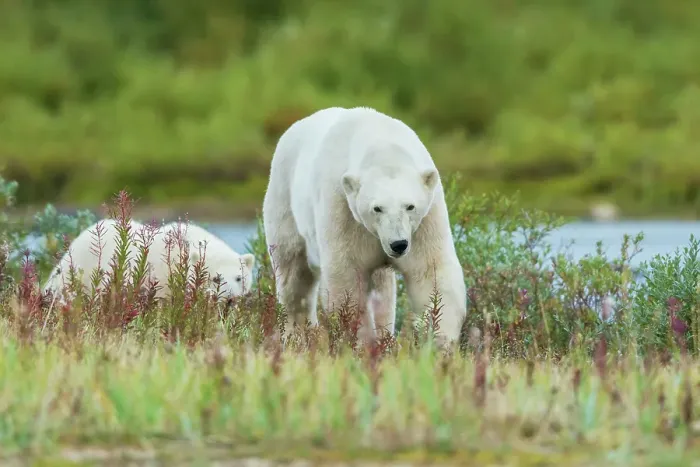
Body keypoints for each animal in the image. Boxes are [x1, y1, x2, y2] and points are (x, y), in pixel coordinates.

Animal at [262, 106, 467, 348]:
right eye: (377, 208)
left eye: (410, 206)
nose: (398, 244)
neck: (381, 143)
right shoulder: (343, 209)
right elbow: (347, 277)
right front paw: (362, 344)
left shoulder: (425, 221)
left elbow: (430, 271)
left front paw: (440, 340)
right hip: (284, 200)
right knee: (293, 273)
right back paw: (296, 335)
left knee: (382, 290)